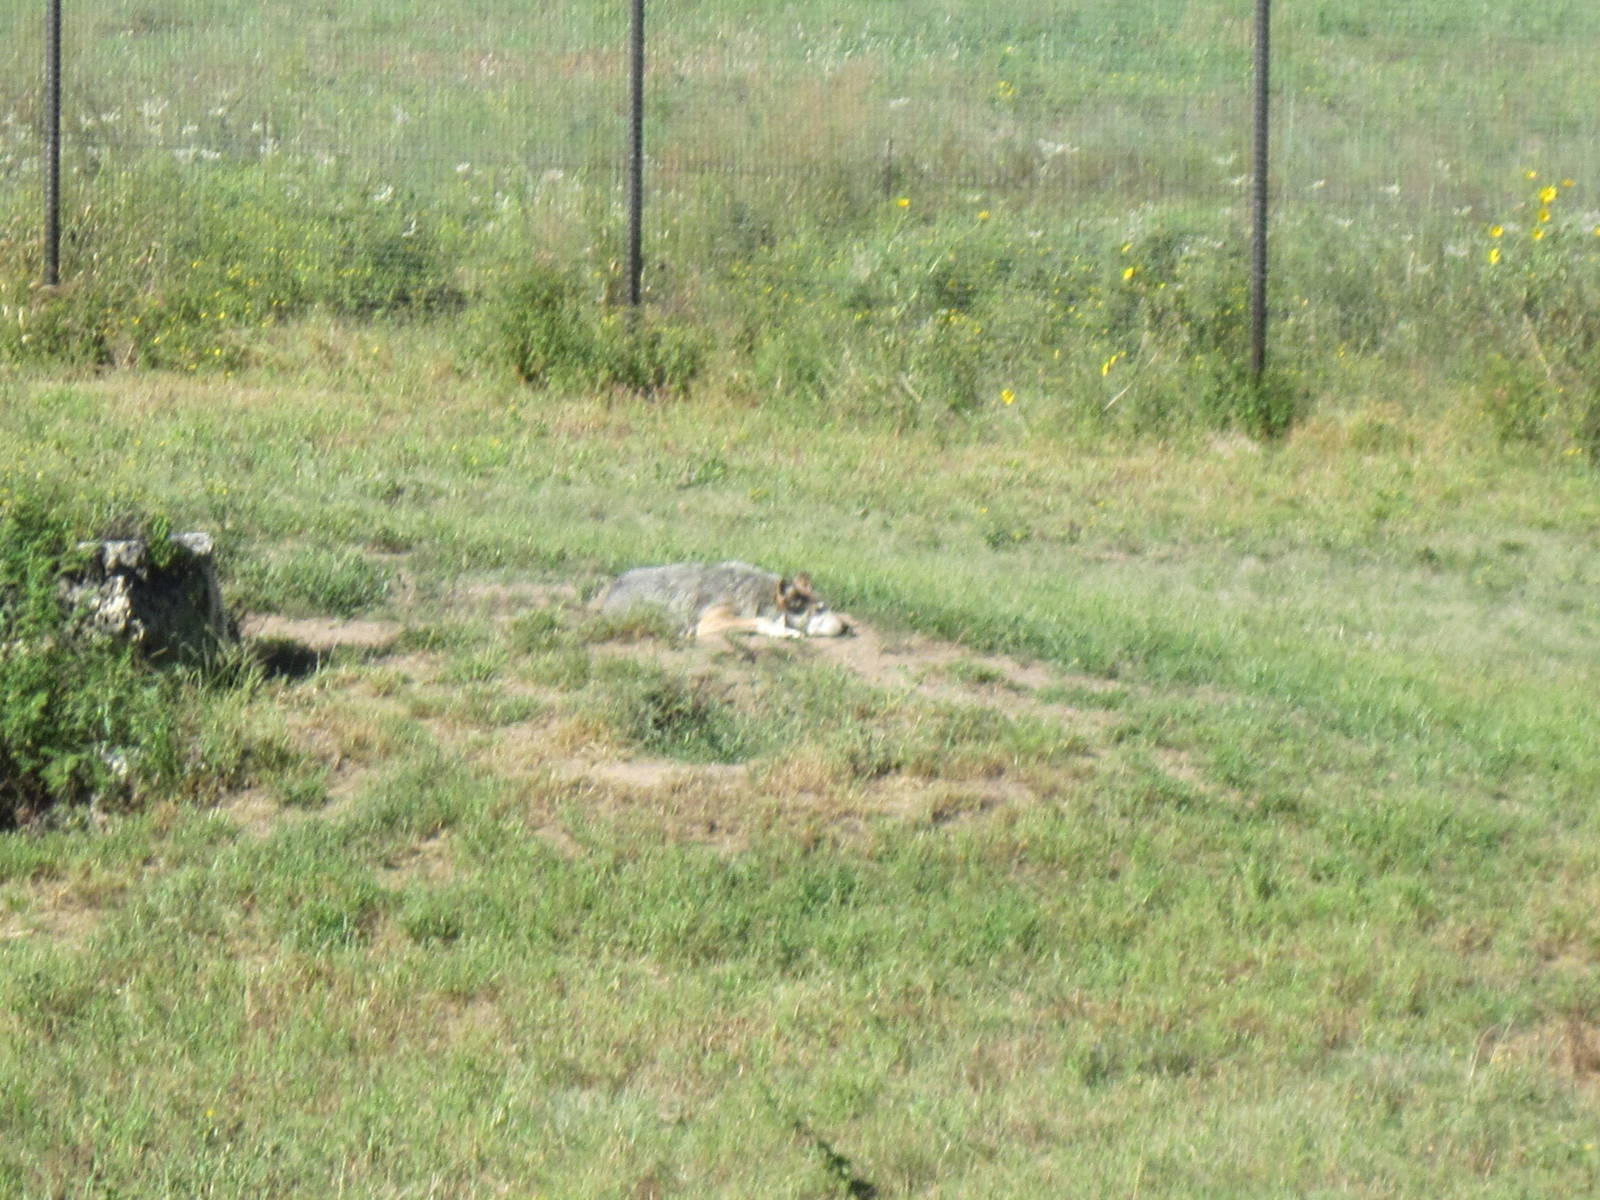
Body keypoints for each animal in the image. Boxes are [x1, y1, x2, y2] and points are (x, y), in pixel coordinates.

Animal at [598, 561, 848, 639]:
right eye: (819, 610)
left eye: (828, 607)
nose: (846, 628)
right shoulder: (709, 622)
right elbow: (760, 622)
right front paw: (784, 631)